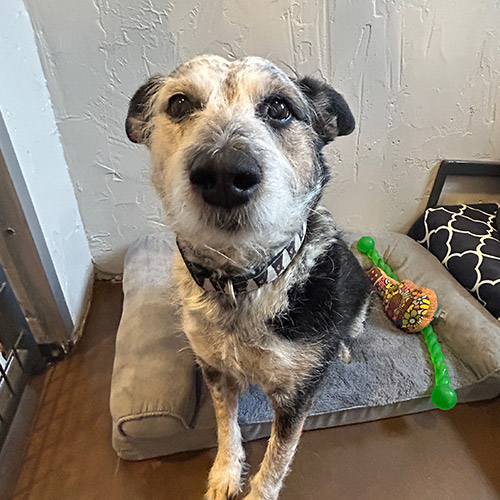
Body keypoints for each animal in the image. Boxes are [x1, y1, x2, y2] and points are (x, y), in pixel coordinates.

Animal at [125, 55, 372, 500]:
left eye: (279, 108)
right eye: (179, 103)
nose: (224, 173)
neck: (241, 282)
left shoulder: (296, 395)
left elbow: (278, 455)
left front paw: (259, 490)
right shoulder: (214, 370)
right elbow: (227, 426)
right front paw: (225, 472)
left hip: (361, 299)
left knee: (351, 329)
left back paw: (343, 349)